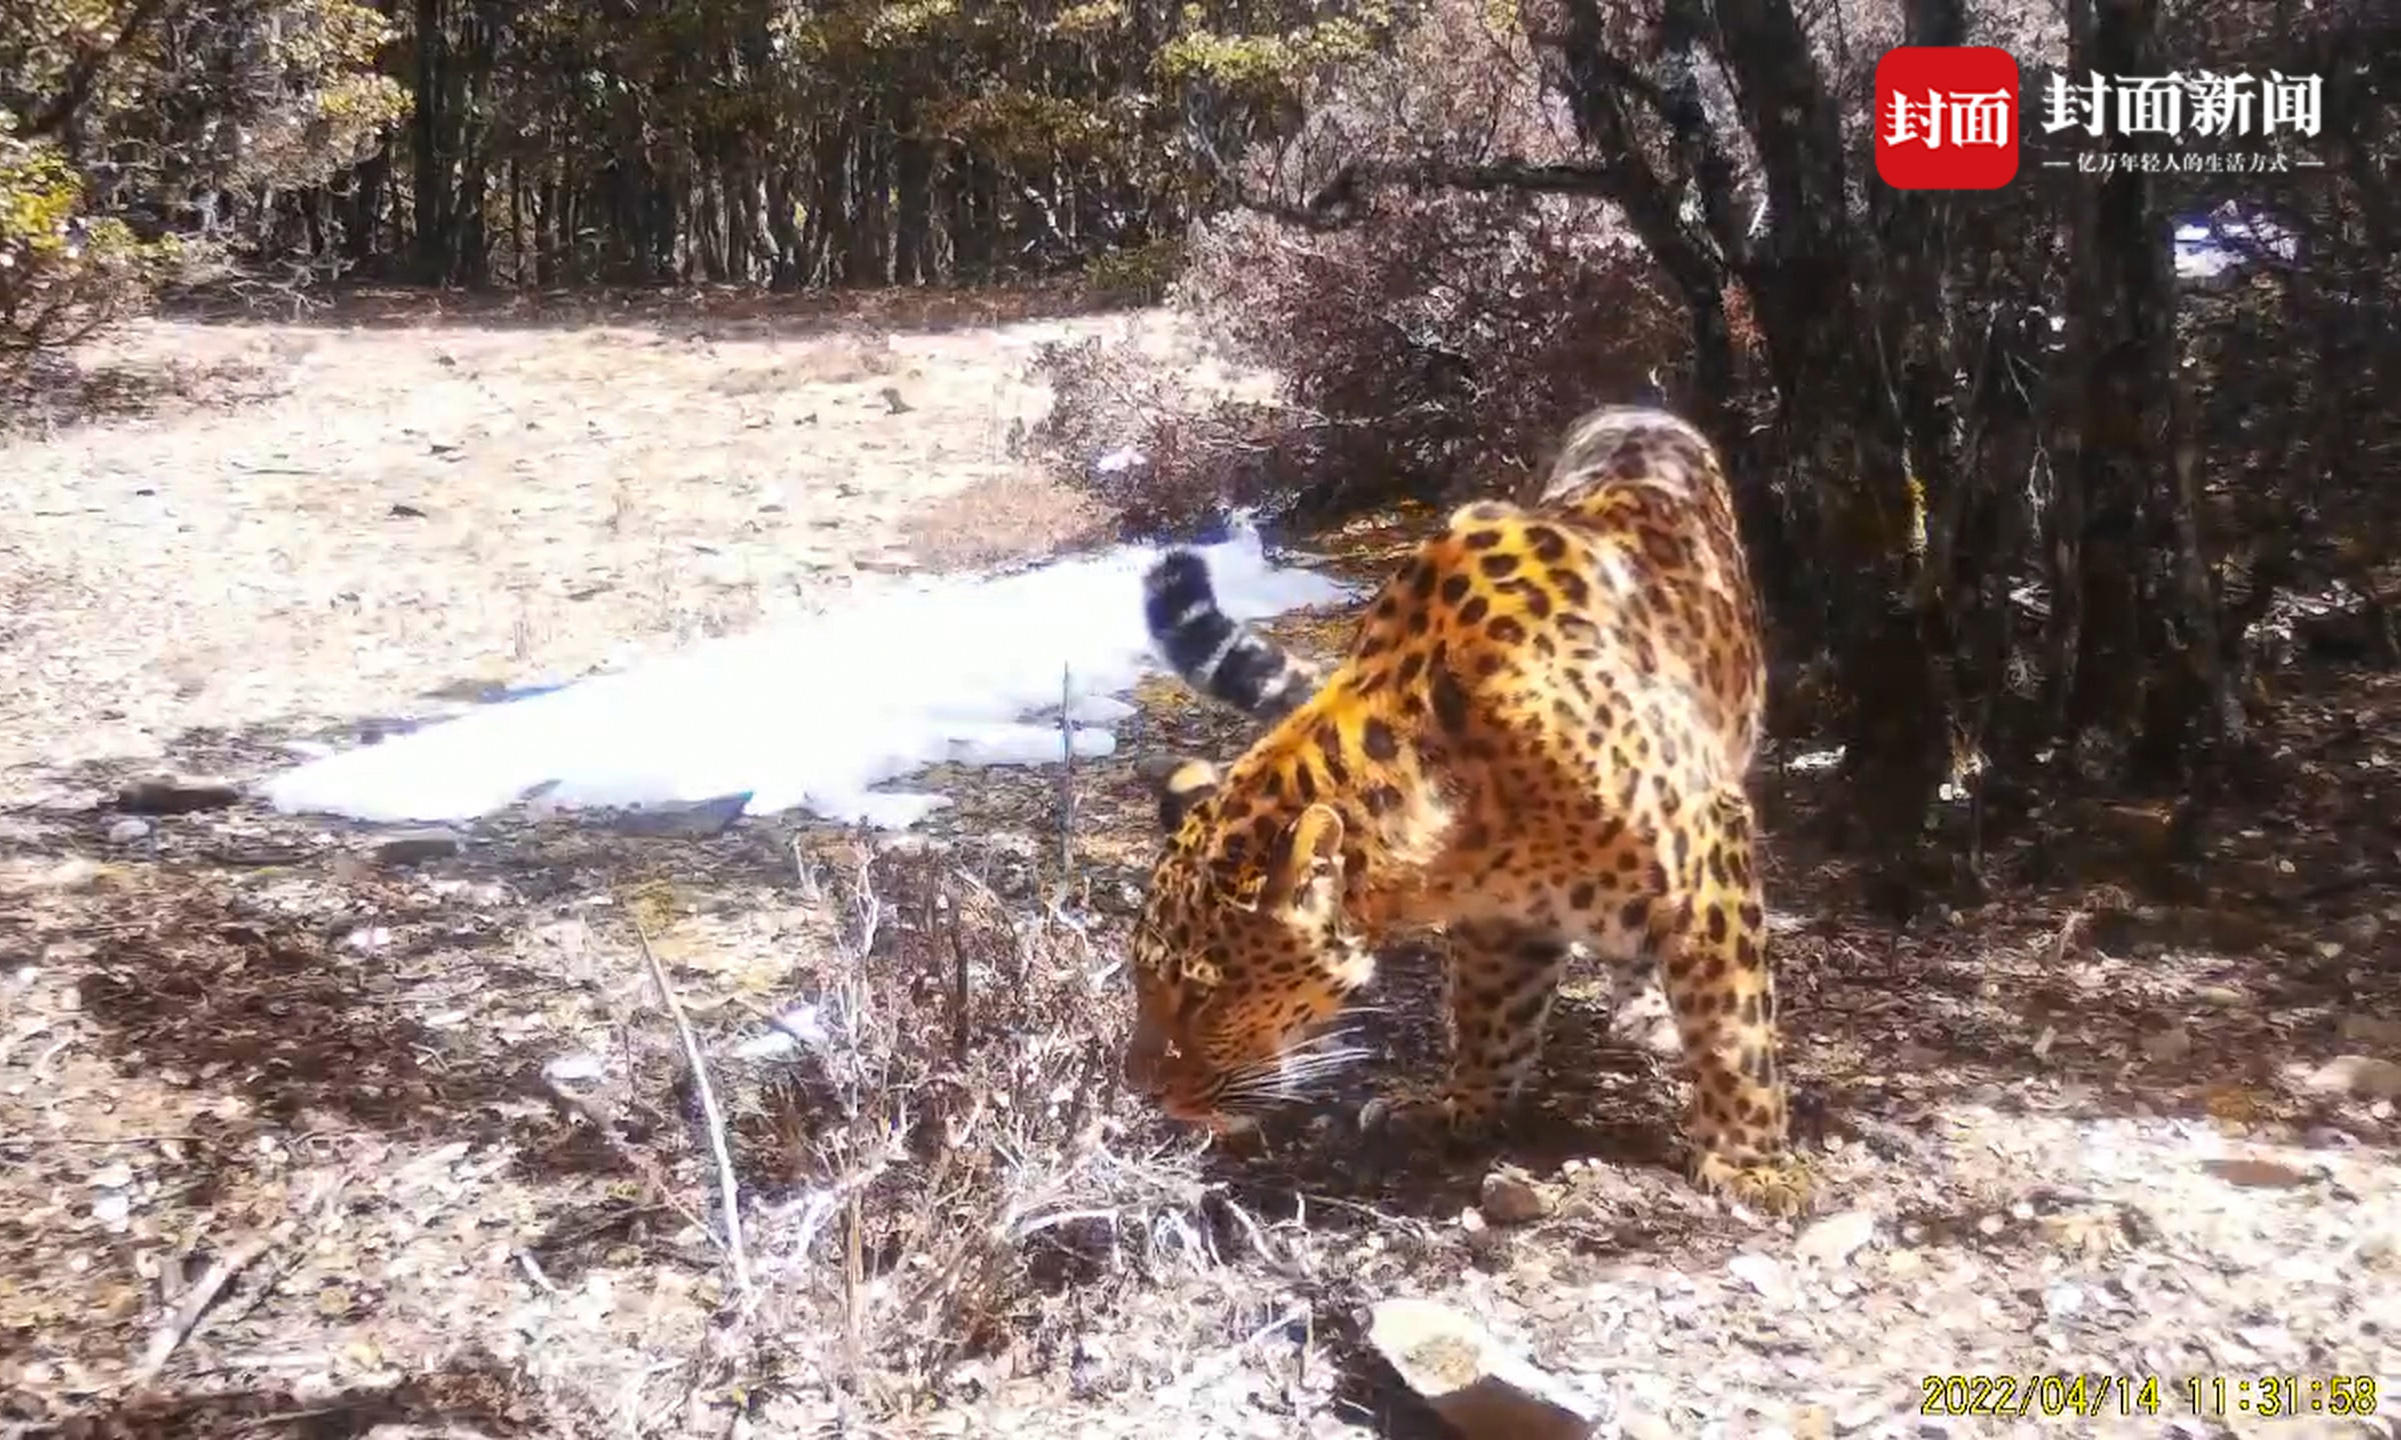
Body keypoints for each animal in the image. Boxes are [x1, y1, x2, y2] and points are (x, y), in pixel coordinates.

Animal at [1118, 405, 1805, 1214]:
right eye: (1141, 982)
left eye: (1204, 999)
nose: (1145, 1093)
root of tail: (1639, 409)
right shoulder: (1499, 913)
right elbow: (1489, 1011)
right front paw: (1464, 1103)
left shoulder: (1705, 844)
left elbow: (1733, 1025)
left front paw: (1749, 1163)